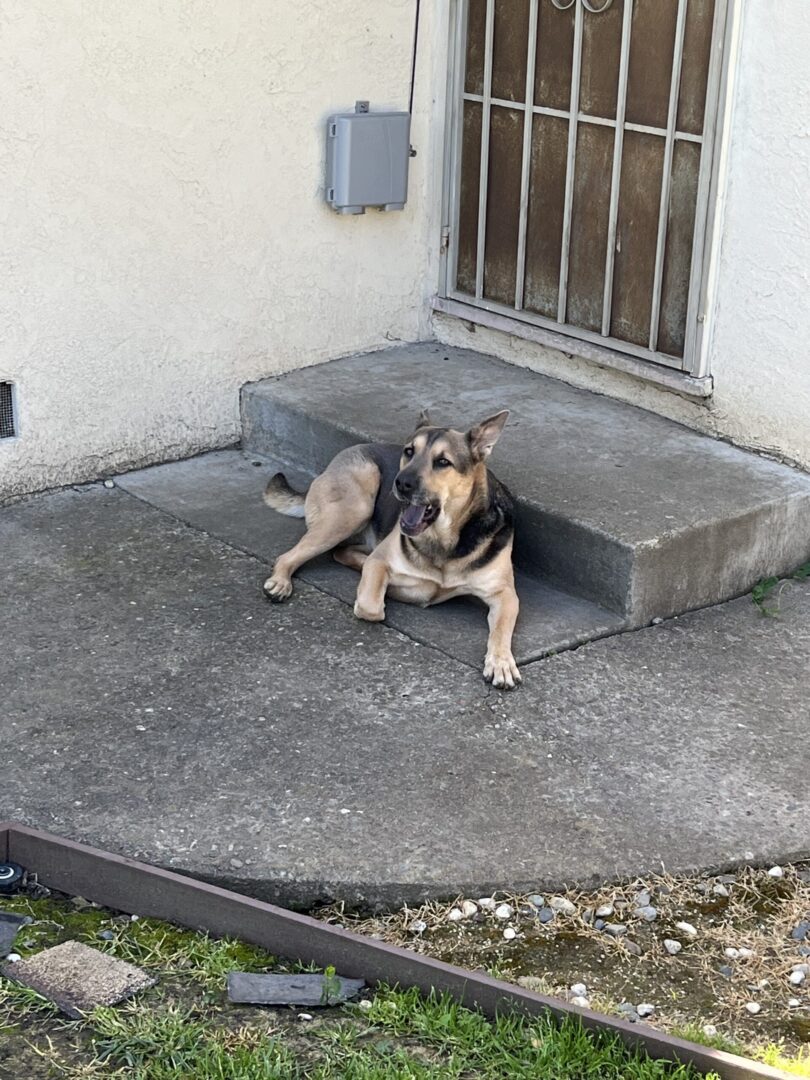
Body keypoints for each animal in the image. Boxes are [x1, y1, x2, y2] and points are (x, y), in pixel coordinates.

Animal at [263, 408, 522, 686]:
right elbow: (372, 606)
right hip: (354, 508)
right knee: (288, 557)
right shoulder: (380, 564)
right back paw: (280, 582)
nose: (401, 483)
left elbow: (501, 631)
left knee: (342, 552)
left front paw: (501, 662)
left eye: (443, 462)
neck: (444, 539)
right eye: (409, 451)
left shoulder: (505, 594)